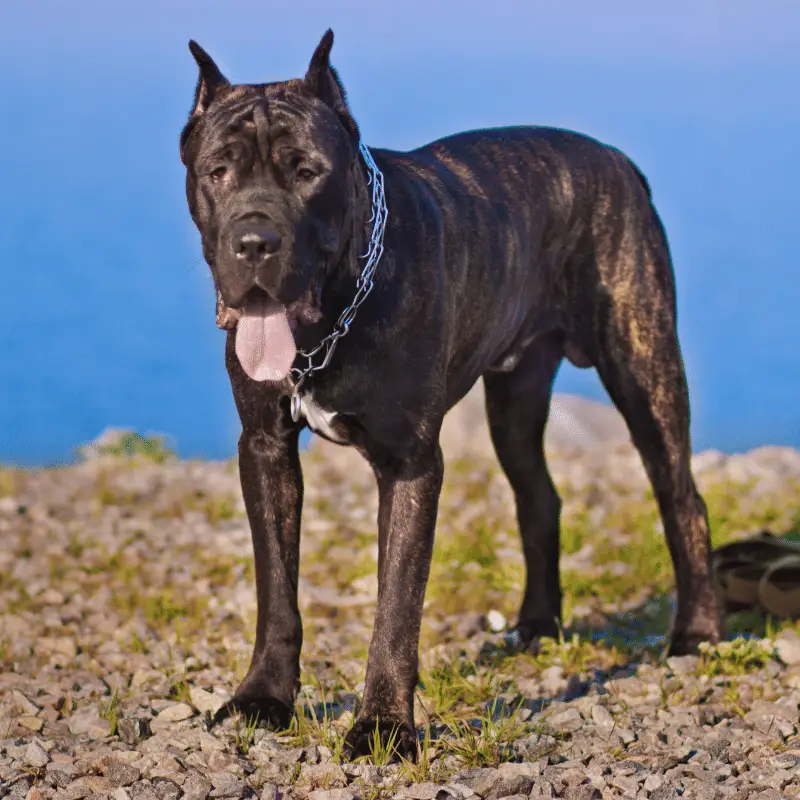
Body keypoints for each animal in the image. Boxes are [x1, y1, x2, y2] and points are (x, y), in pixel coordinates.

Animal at [181, 29, 724, 756]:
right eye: (218, 172)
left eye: (307, 171)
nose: (254, 241)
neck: (332, 318)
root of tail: (620, 163)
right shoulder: (266, 447)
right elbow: (277, 587)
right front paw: (263, 697)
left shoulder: (410, 463)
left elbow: (396, 603)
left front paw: (383, 726)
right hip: (516, 398)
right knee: (539, 498)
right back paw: (537, 625)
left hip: (644, 369)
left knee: (682, 499)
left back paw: (696, 633)